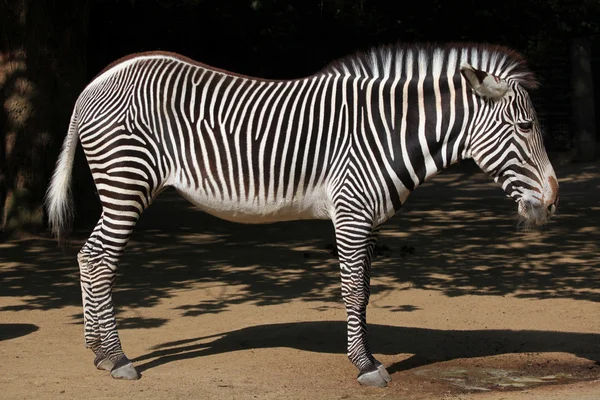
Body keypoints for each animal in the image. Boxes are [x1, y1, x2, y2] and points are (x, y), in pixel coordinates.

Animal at [45, 43, 556, 388]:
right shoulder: (351, 211)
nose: (553, 199)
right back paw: (116, 358)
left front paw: (366, 355)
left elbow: (365, 293)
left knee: (89, 258)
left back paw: (98, 352)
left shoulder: (366, 219)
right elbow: (353, 290)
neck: (388, 132)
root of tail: (96, 81)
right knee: (98, 259)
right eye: (525, 126)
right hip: (126, 183)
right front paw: (366, 366)